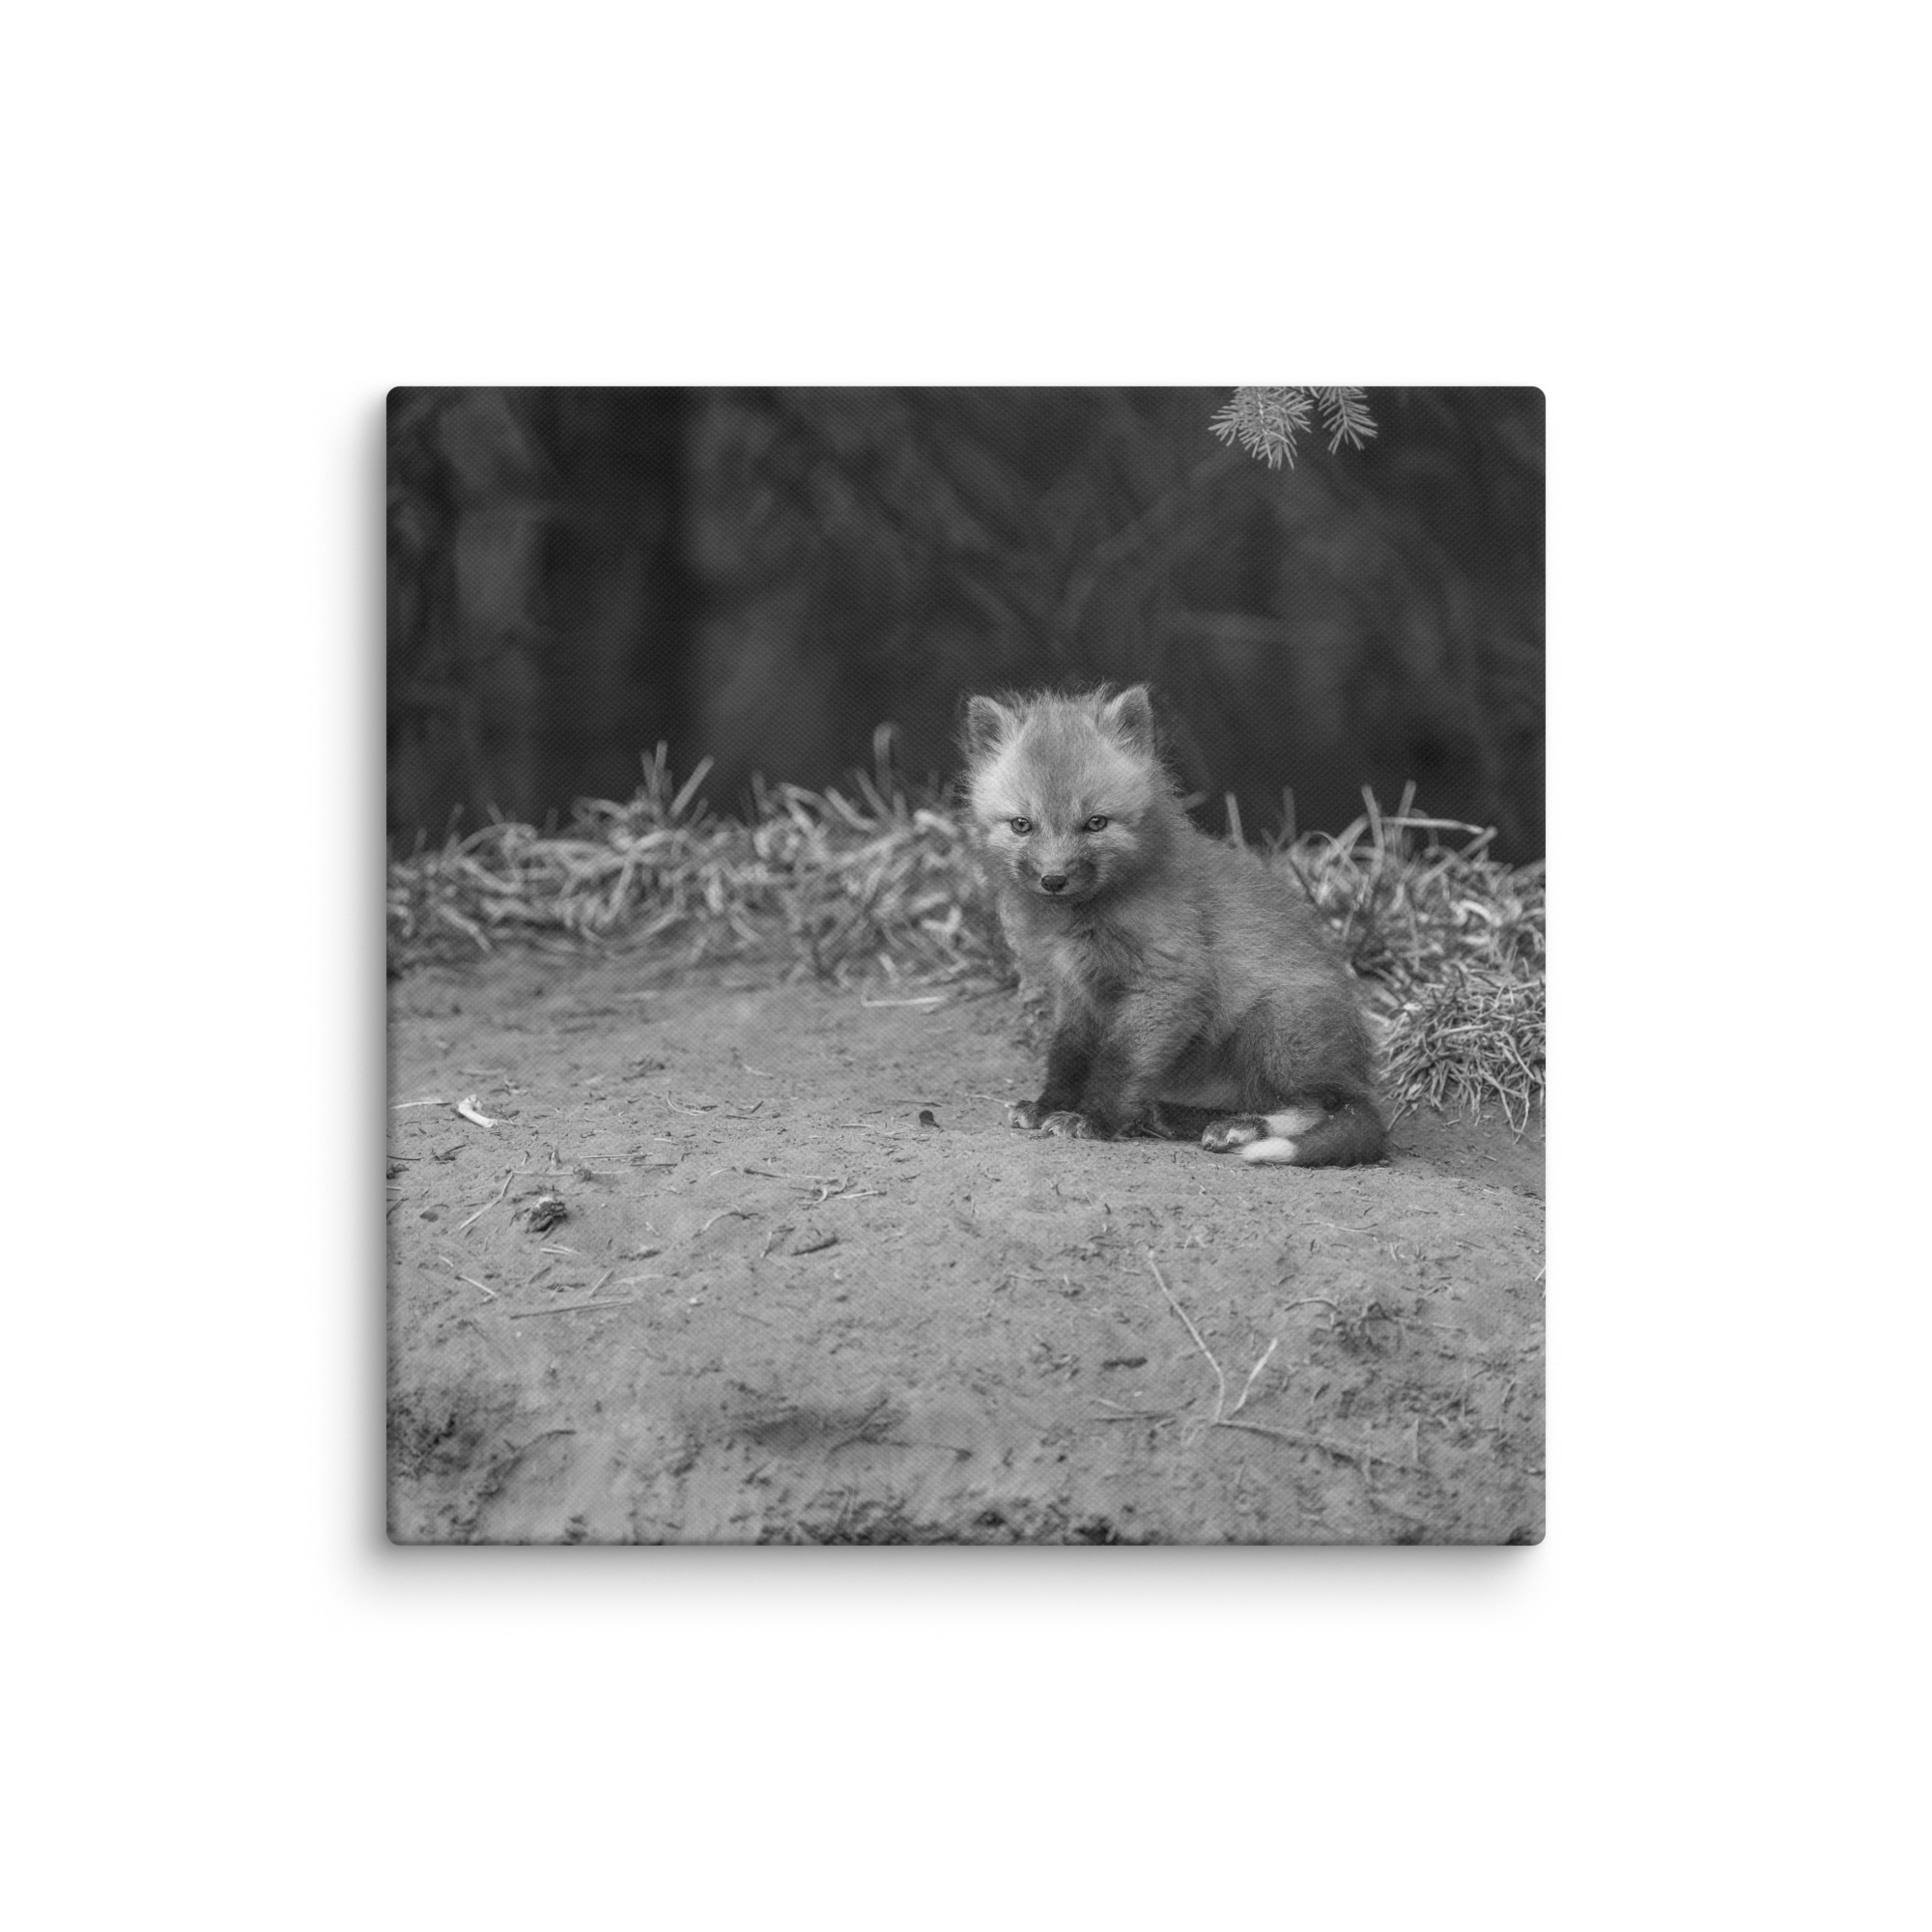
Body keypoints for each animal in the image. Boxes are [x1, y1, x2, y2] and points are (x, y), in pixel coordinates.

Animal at [962, 683, 1385, 1167]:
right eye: (1022, 825)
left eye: (1095, 823)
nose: (1054, 880)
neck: (1085, 921)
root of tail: (1358, 1072)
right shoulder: (1077, 991)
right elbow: (1068, 1055)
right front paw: (1049, 1105)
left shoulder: (1169, 983)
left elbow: (1120, 1062)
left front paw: (1094, 1120)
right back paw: (1172, 1116)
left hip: (1276, 1026)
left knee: (1323, 1107)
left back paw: (1240, 1129)